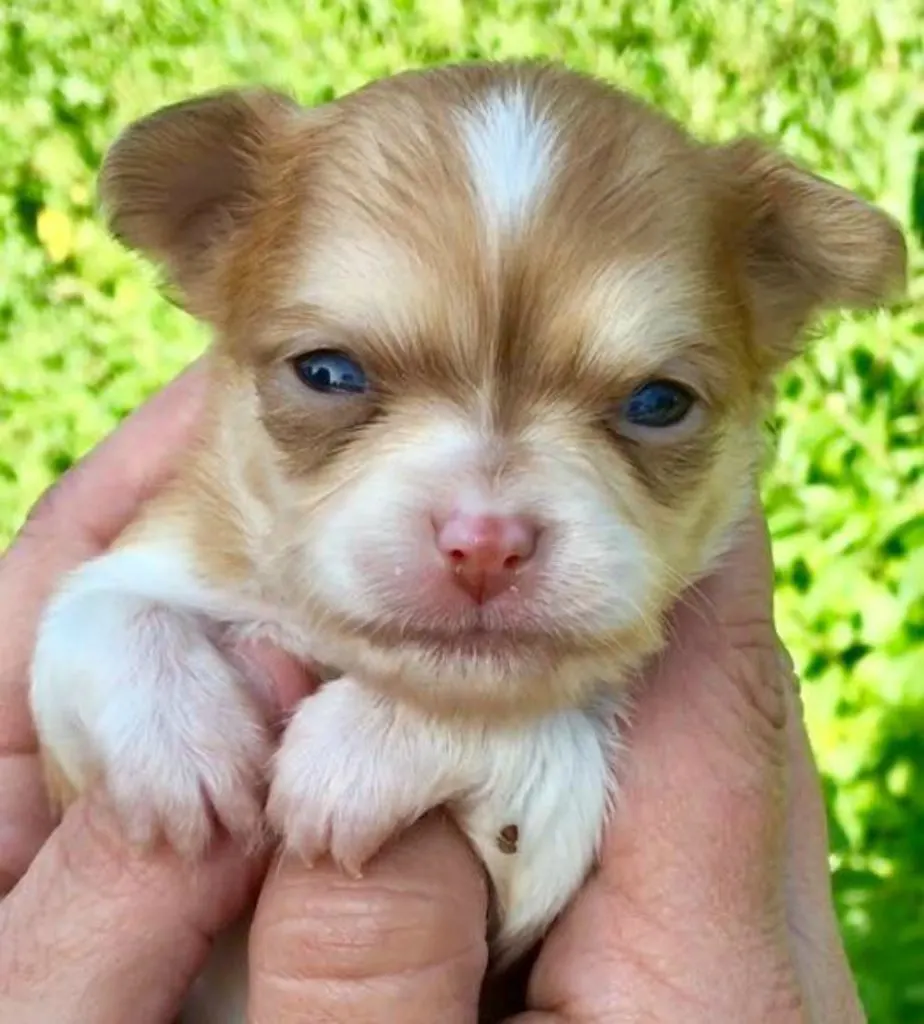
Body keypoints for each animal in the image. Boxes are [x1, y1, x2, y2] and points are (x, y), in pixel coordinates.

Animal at [27, 59, 905, 1019]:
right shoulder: (151, 564)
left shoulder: (544, 855)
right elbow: (93, 616)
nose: (485, 541)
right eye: (327, 372)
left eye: (659, 402)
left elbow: (520, 732)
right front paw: (183, 748)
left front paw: (360, 747)